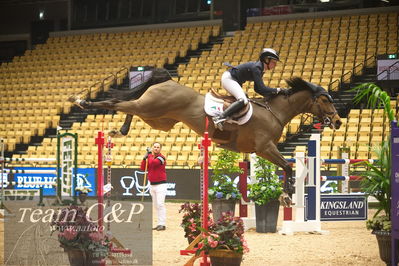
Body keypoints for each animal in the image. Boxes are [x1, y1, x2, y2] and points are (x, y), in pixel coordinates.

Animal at [69, 75, 344, 206]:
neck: (274, 111)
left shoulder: (258, 151)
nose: (339, 121)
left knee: (127, 107)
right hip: (151, 107)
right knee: (118, 102)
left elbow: (276, 168)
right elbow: (287, 166)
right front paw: (286, 196)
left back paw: (120, 130)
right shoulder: (265, 148)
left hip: (157, 118)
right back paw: (82, 102)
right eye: (325, 99)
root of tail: (167, 80)